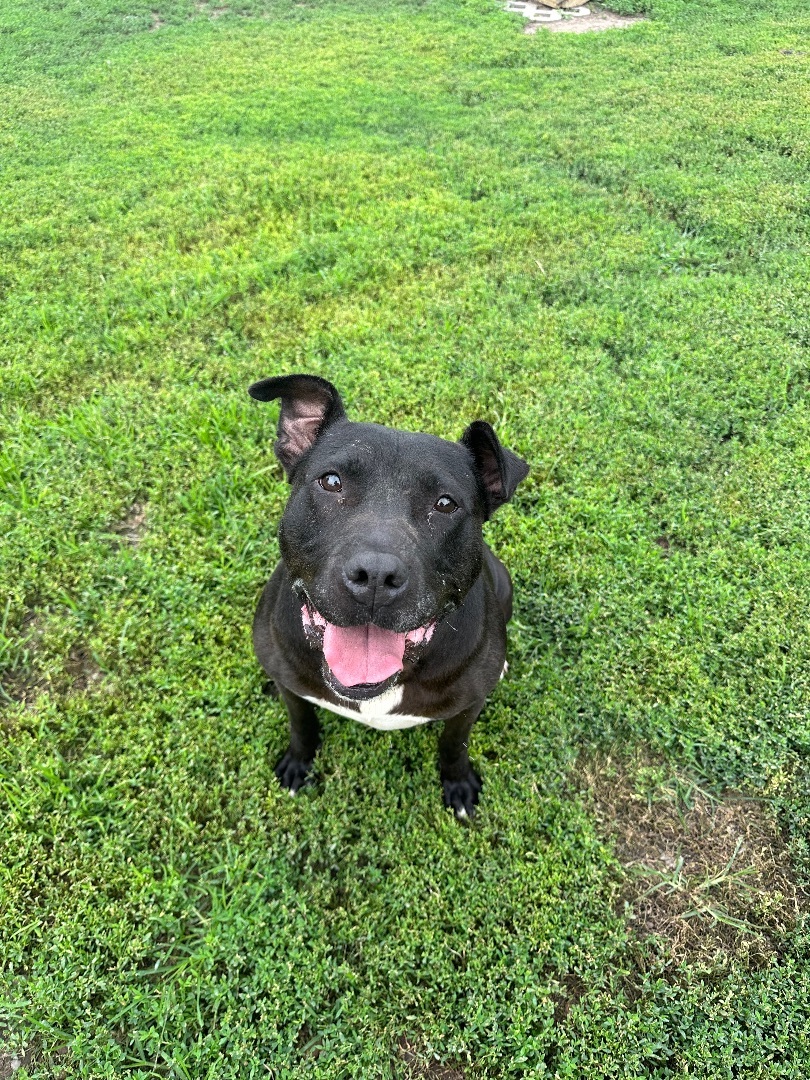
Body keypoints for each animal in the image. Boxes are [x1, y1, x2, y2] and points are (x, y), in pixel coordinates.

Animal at [250, 375, 529, 812]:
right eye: (331, 481)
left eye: (445, 504)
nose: (376, 576)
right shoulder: (290, 687)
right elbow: (301, 721)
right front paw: (299, 761)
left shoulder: (468, 708)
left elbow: (454, 743)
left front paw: (458, 782)